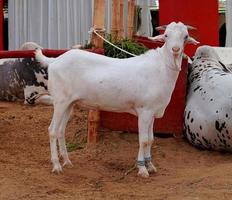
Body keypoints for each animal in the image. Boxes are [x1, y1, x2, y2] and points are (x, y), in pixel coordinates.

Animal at [35, 21, 198, 177]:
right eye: (166, 36)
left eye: (185, 37)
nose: (175, 50)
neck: (161, 68)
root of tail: (54, 61)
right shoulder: (144, 111)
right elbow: (144, 139)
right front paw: (142, 168)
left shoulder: (152, 112)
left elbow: (151, 139)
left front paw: (150, 165)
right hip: (60, 101)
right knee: (52, 130)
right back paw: (56, 165)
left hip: (69, 103)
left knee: (61, 130)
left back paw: (67, 162)